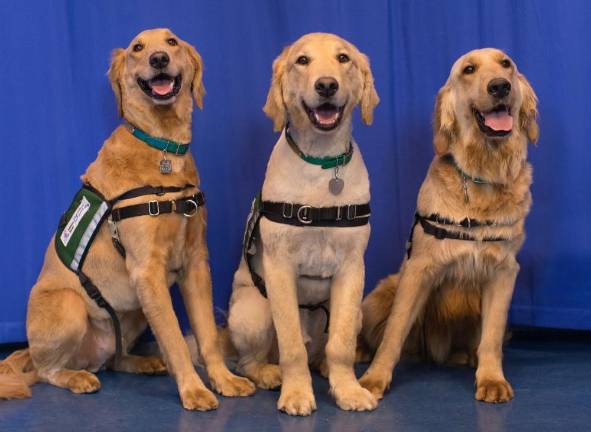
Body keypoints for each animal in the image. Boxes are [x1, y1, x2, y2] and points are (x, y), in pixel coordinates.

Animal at [227, 32, 380, 416]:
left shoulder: (352, 269)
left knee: (324, 348)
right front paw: (296, 393)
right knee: (249, 361)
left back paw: (323, 367)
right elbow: (291, 343)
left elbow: (341, 343)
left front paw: (348, 390)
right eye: (302, 61)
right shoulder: (280, 267)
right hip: (253, 311)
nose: (326, 85)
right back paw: (269, 373)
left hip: (357, 310)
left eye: (343, 58)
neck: (322, 164)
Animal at [358, 49, 540, 404]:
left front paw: (491, 379)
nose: (500, 86)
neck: (484, 175)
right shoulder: (418, 269)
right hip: (381, 294)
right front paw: (374, 378)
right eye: (468, 69)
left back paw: (469, 357)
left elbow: (492, 336)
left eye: (506, 64)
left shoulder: (504, 272)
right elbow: (394, 332)